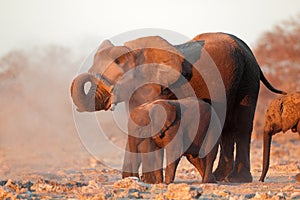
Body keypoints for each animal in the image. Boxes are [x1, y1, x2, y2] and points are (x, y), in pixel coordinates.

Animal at [71, 32, 286, 183]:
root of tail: (248, 49)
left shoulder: (158, 87)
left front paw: (147, 181)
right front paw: (138, 180)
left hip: (248, 78)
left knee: (241, 125)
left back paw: (235, 179)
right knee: (227, 126)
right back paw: (222, 177)